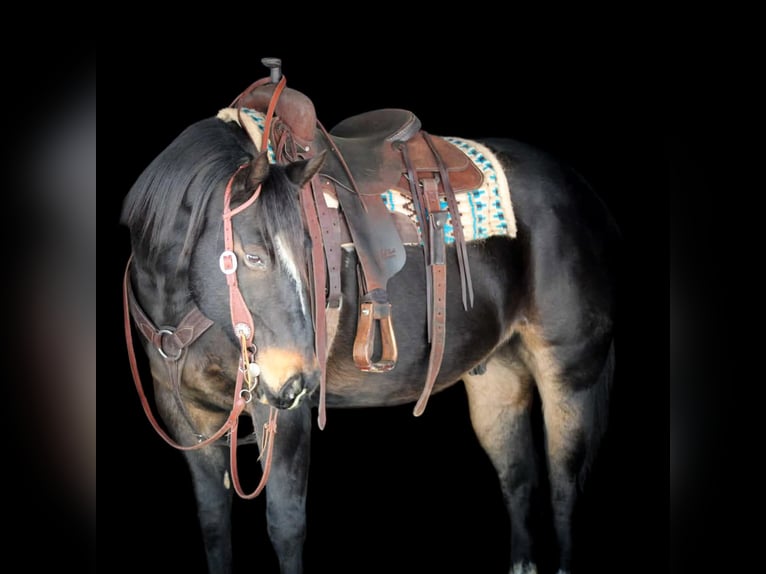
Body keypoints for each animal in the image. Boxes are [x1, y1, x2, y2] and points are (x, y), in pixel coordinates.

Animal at [120, 71, 620, 574]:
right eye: (254, 256)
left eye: (310, 249)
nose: (301, 381)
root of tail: (584, 194)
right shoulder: (191, 420)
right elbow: (213, 524)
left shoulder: (281, 416)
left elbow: (285, 525)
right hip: (498, 378)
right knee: (519, 479)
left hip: (570, 378)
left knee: (563, 488)